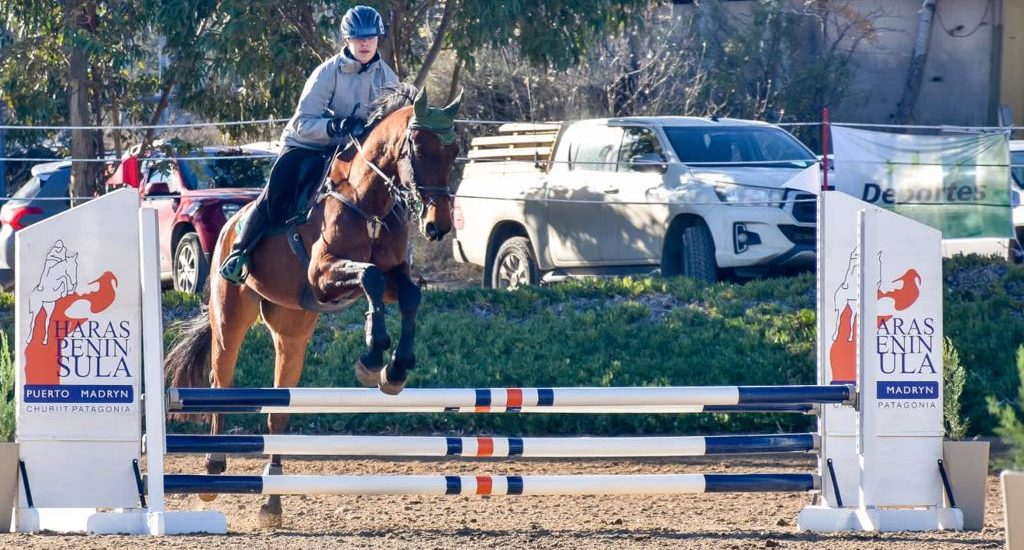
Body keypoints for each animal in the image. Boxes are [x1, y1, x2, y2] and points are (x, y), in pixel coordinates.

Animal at [164, 87, 460, 528]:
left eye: (454, 151)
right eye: (418, 149)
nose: (438, 227)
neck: (367, 201)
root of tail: (229, 227)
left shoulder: (394, 275)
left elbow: (407, 295)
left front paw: (395, 369)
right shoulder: (323, 273)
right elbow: (370, 278)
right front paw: (373, 356)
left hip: (293, 333)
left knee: (277, 413)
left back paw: (271, 501)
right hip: (229, 319)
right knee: (221, 383)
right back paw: (214, 469)